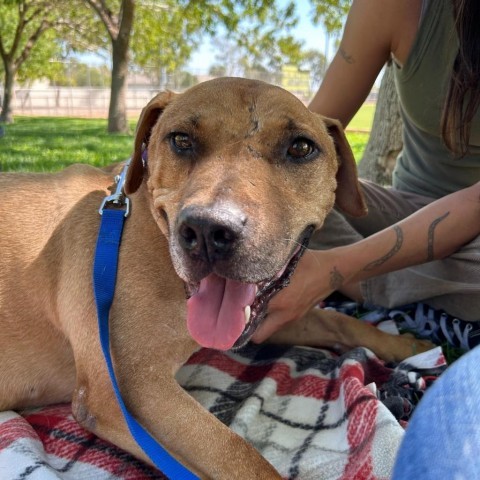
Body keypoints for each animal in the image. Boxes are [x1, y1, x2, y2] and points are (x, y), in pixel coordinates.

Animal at [0, 77, 434, 478]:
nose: (210, 231)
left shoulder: (266, 319)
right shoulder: (129, 387)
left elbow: (339, 320)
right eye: (181, 140)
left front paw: (409, 346)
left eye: (300, 147)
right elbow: (239, 456)